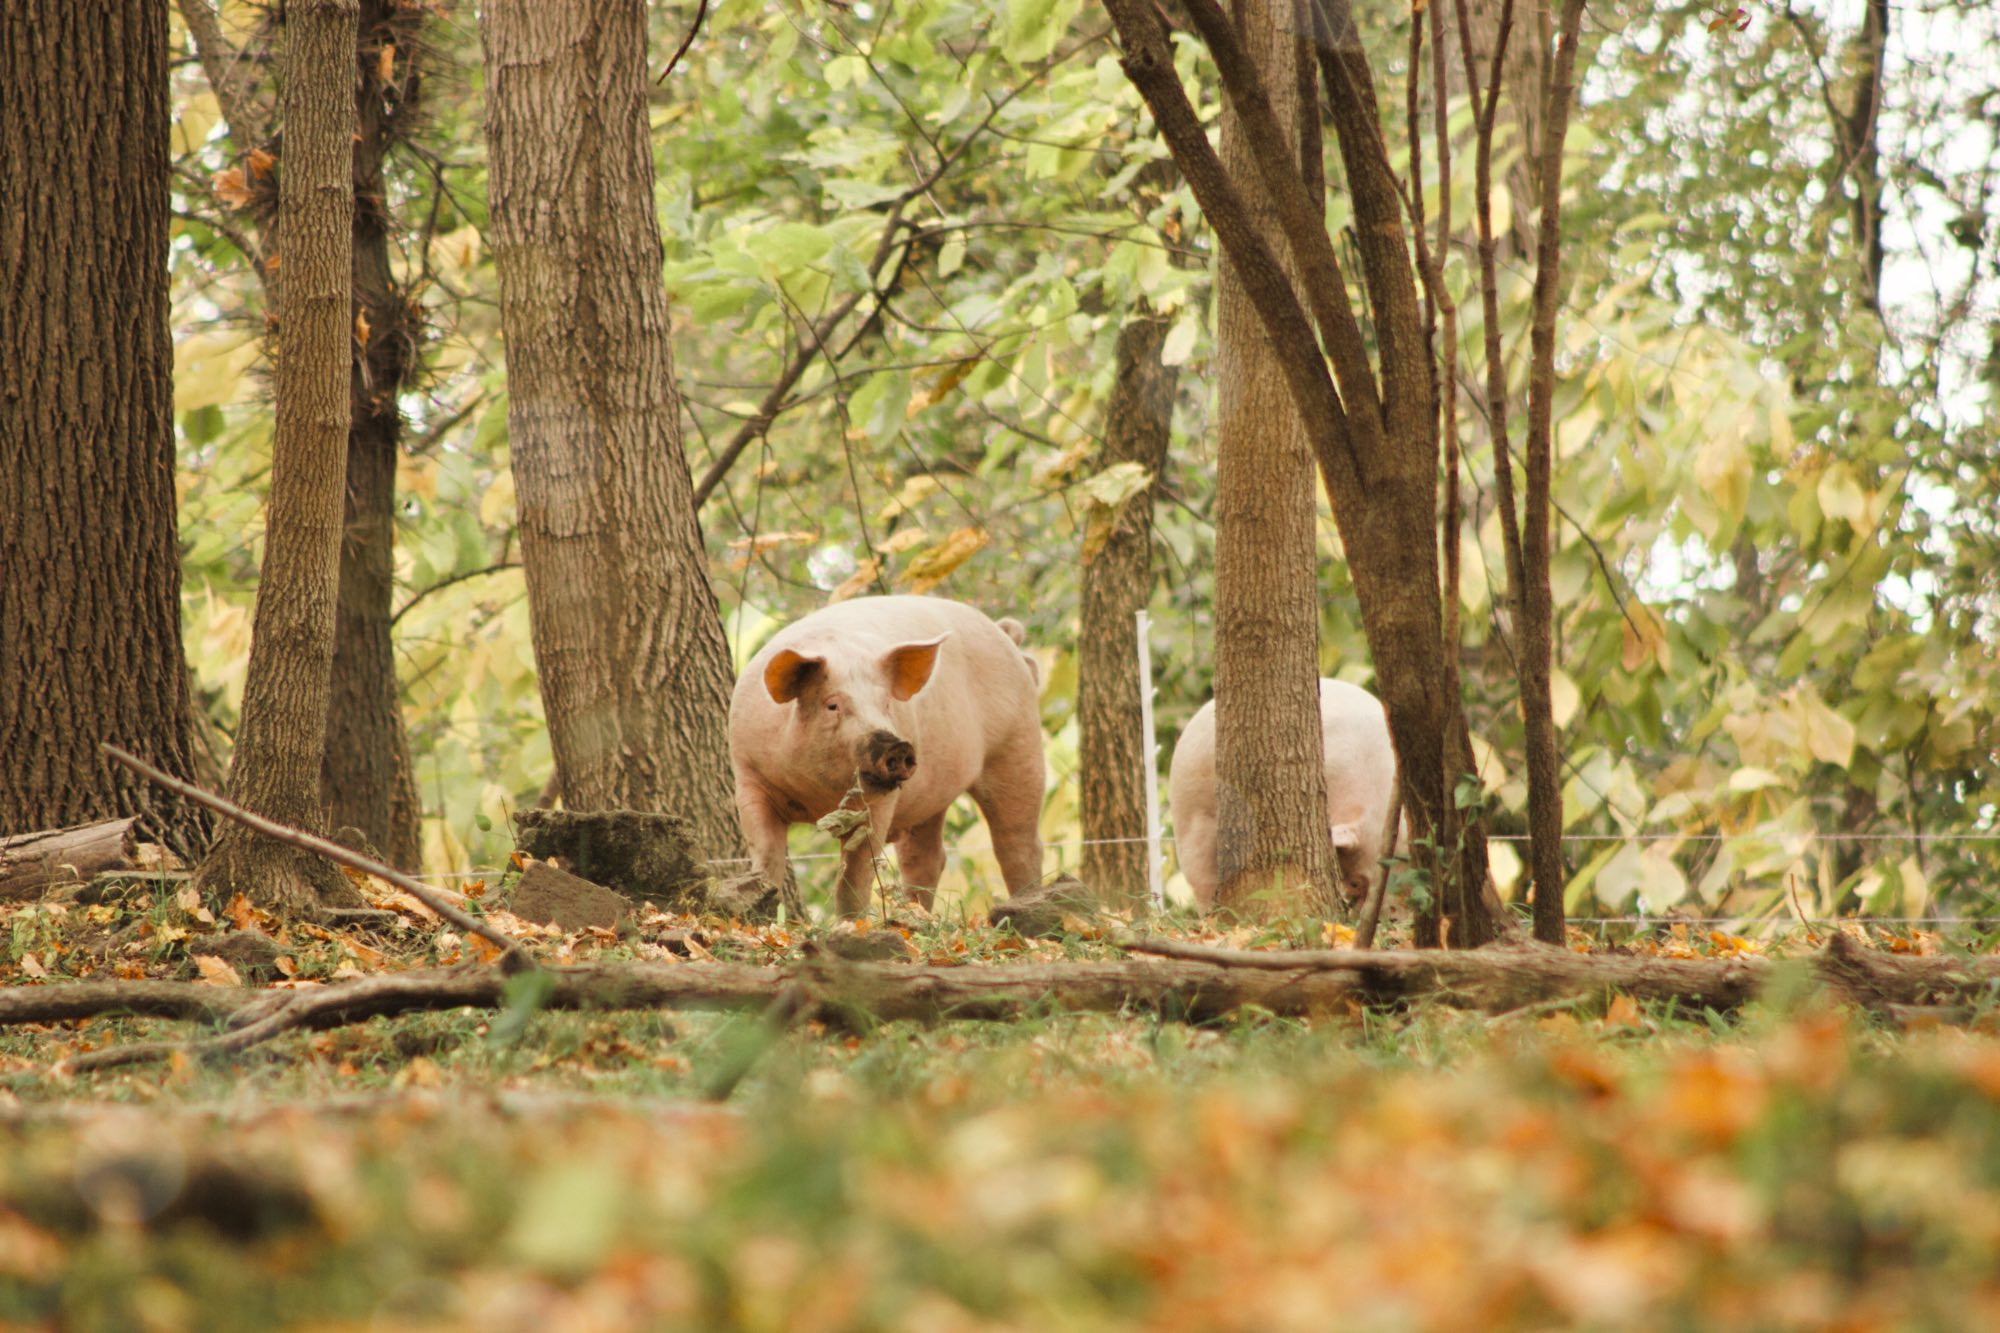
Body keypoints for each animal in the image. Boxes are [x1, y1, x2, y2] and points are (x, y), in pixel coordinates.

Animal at [728, 595, 1046, 916]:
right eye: (832, 705)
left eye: (885, 703)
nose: (896, 745)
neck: (814, 798)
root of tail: (1005, 634)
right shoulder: (748, 775)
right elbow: (766, 858)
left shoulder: (878, 803)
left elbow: (854, 879)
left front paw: (852, 923)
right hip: (930, 795)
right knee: (927, 857)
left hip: (1018, 745)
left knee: (1018, 844)